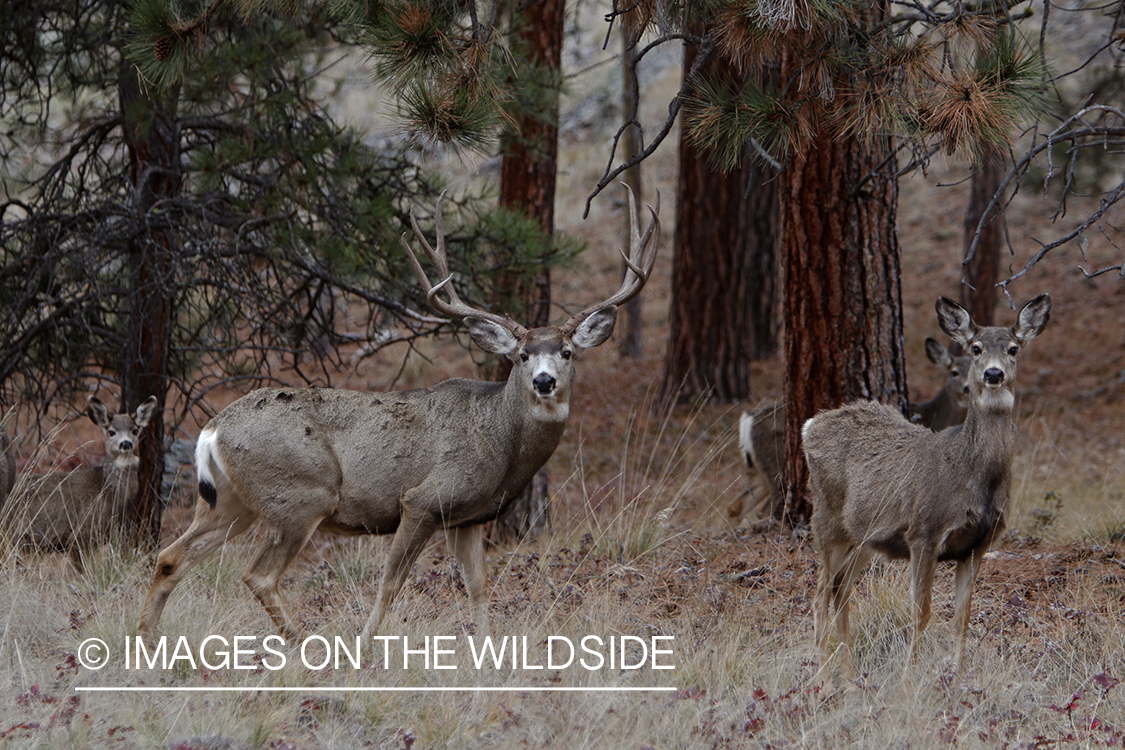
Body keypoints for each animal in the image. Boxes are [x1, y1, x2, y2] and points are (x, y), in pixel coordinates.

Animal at [137, 187, 660, 644]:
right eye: (522, 355)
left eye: (568, 352)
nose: (545, 381)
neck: (499, 441)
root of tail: (211, 429)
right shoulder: (424, 499)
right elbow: (391, 582)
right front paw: (368, 644)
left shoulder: (468, 517)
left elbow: (478, 587)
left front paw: (486, 650)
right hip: (301, 495)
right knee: (258, 575)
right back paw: (307, 644)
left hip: (228, 502)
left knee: (170, 556)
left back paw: (146, 639)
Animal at [733, 338, 972, 522]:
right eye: (954, 372)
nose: (968, 389)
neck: (935, 416)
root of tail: (748, 418)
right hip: (774, 467)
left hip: (756, 472)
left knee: (738, 506)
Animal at [801, 294, 1050, 683]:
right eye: (976, 348)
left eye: (1013, 349)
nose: (993, 374)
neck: (973, 475)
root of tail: (810, 425)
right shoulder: (924, 532)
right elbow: (922, 613)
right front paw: (909, 682)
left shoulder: (978, 544)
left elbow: (962, 617)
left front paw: (958, 680)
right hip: (827, 524)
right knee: (820, 595)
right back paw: (824, 681)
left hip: (863, 539)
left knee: (841, 591)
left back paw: (851, 679)